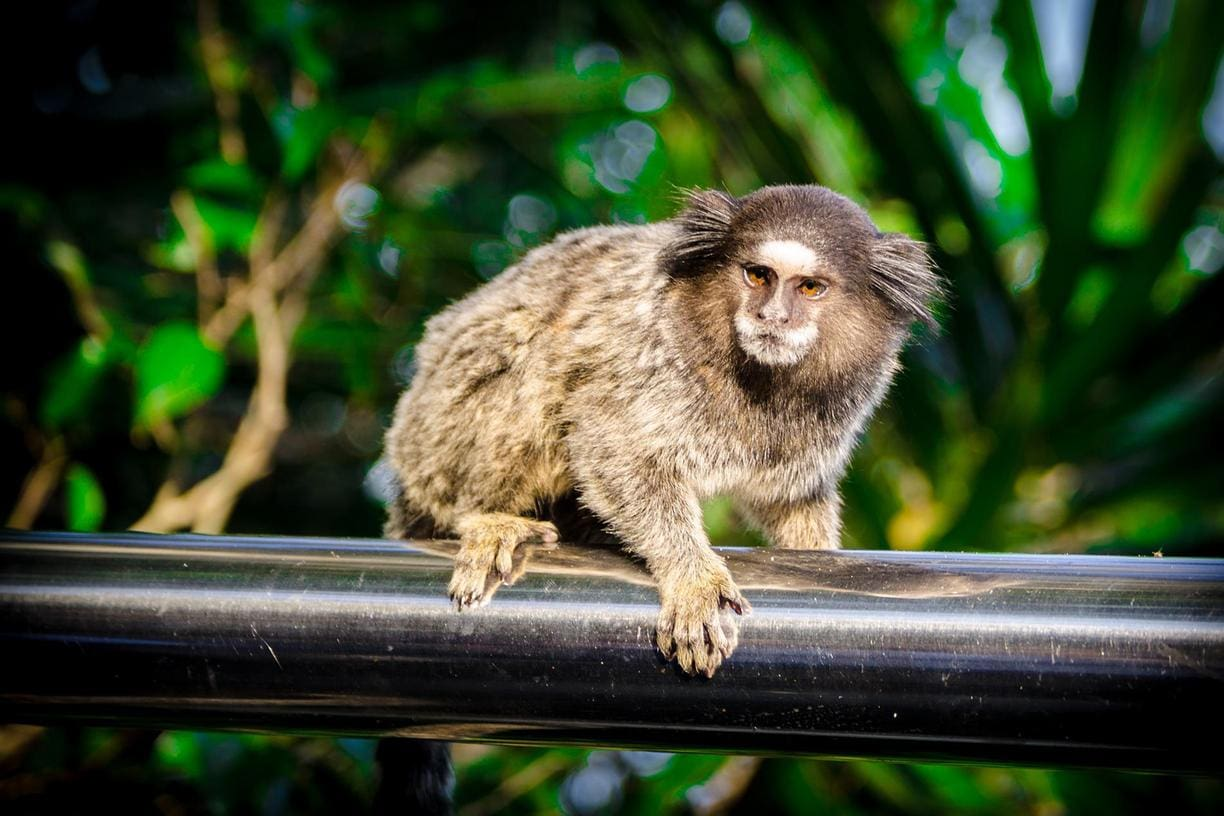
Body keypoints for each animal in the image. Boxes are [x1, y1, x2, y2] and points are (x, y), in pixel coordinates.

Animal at [384, 184, 942, 678]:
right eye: (758, 275)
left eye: (809, 287)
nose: (772, 316)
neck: (763, 381)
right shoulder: (649, 354)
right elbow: (615, 450)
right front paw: (693, 578)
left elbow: (789, 499)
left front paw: (812, 549)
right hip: (433, 440)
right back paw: (487, 518)